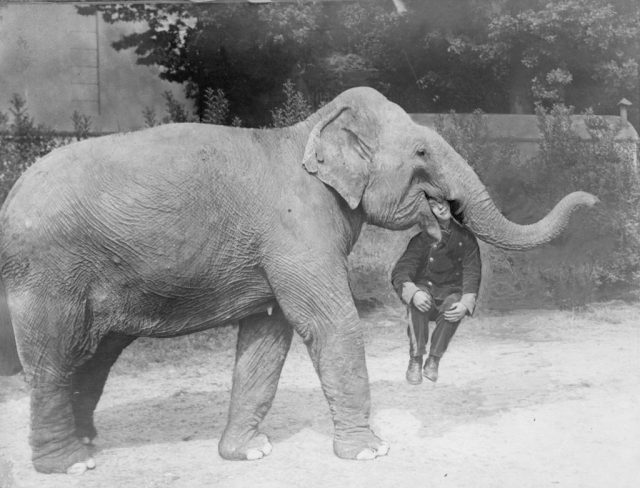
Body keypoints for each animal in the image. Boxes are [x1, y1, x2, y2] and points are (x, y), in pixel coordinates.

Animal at [0, 85, 596, 472]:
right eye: (422, 150)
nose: (594, 199)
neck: (305, 132)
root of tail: (10, 197)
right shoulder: (295, 230)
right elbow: (331, 323)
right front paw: (370, 452)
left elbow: (269, 335)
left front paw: (249, 453)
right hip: (48, 271)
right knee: (54, 356)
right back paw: (70, 464)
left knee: (95, 356)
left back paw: (86, 446)